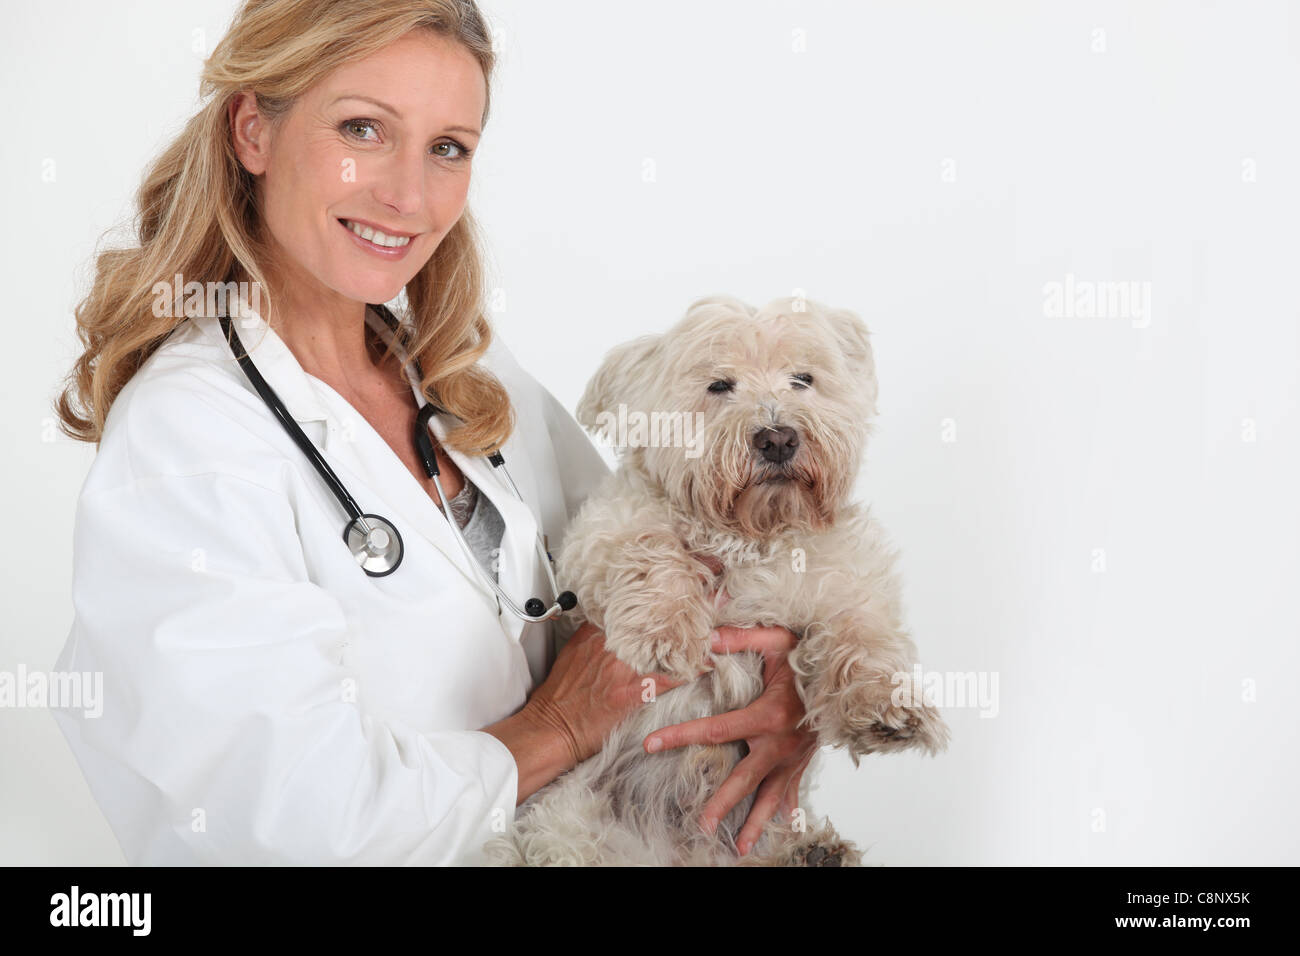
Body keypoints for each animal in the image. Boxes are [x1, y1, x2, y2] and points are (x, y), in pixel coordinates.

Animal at [483, 293, 951, 868]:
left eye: (803, 378)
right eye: (719, 385)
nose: (778, 438)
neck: (750, 534)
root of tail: (685, 849)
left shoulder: (844, 580)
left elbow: (864, 636)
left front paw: (888, 708)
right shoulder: (603, 534)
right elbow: (648, 547)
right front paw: (666, 632)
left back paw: (812, 851)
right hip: (569, 814)